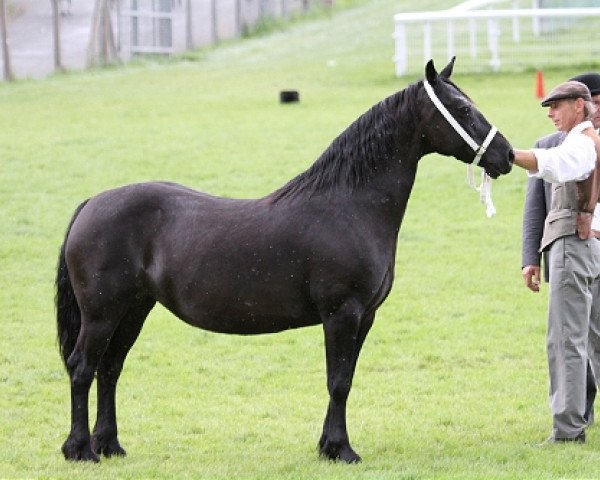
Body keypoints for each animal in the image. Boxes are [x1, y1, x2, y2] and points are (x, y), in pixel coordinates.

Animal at [56, 58, 512, 464]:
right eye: (463, 109)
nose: (506, 155)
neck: (349, 205)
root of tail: (91, 204)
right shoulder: (342, 314)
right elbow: (338, 381)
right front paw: (340, 450)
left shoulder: (365, 317)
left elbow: (345, 379)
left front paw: (329, 446)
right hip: (101, 313)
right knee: (83, 368)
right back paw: (80, 451)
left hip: (134, 309)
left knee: (109, 369)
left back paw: (109, 446)